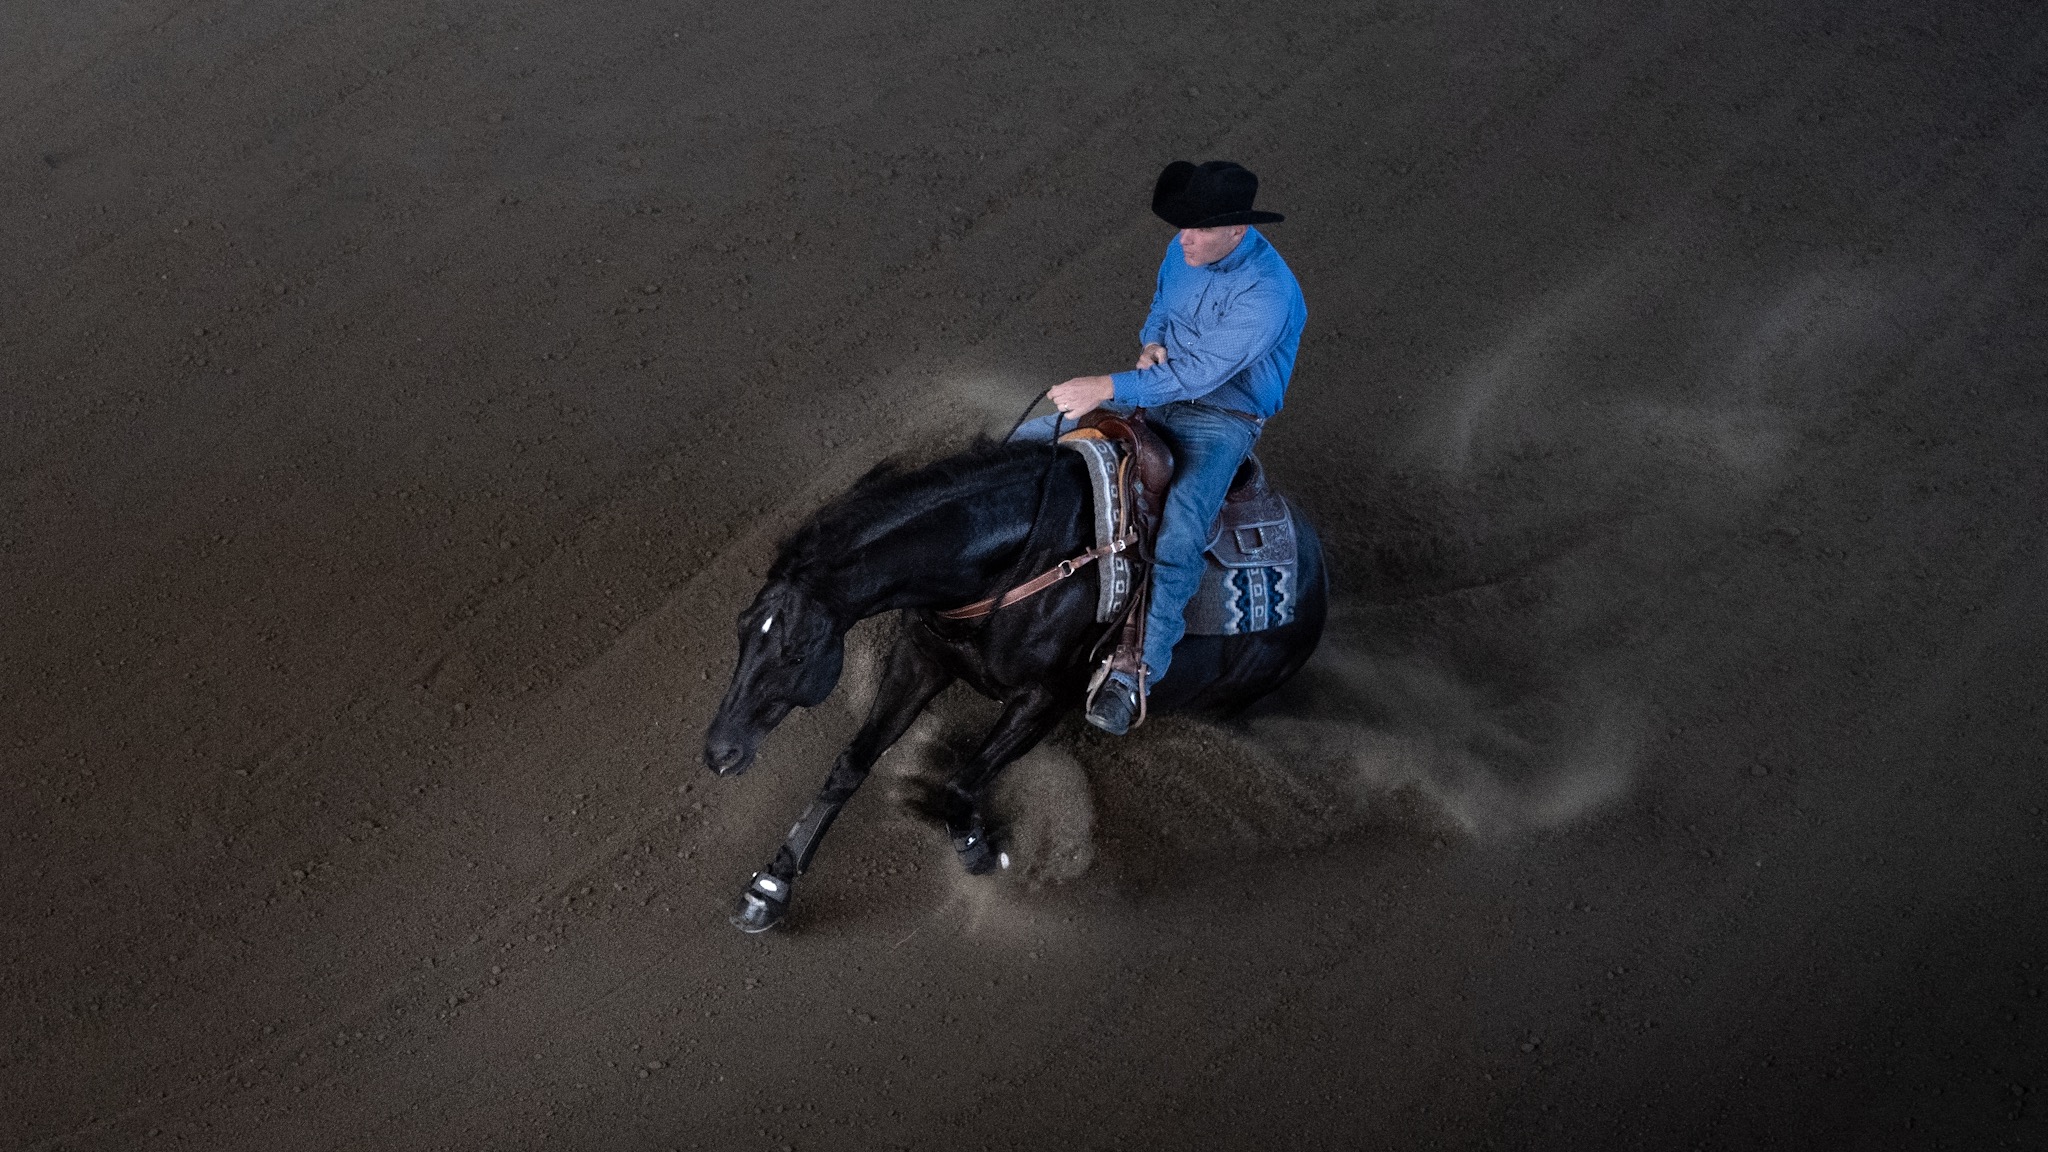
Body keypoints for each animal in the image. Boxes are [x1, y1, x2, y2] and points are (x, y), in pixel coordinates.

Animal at [702, 434, 1327, 932]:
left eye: (796, 651)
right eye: (741, 628)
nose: (719, 751)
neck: (1017, 558)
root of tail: (1317, 568)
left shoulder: (1042, 701)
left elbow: (961, 782)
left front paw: (981, 851)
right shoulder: (920, 656)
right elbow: (850, 765)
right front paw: (771, 887)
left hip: (1227, 705)